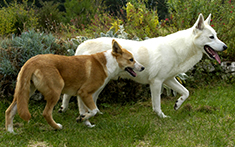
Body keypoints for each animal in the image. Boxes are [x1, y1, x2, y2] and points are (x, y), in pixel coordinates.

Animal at [5, 39, 145, 133]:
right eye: (131, 59)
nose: (143, 67)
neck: (107, 63)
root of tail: (31, 61)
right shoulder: (85, 93)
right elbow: (93, 110)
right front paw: (83, 119)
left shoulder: (81, 95)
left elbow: (86, 111)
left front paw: (85, 122)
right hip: (55, 90)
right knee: (46, 113)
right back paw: (57, 127)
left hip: (25, 92)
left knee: (10, 110)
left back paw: (11, 131)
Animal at [59, 13, 227, 126]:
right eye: (211, 37)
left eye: (216, 36)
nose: (225, 47)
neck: (179, 48)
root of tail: (82, 44)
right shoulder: (157, 82)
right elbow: (157, 104)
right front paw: (162, 117)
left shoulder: (169, 79)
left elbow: (186, 92)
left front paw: (177, 104)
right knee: (77, 97)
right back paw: (79, 115)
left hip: (101, 84)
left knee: (87, 99)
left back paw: (85, 113)